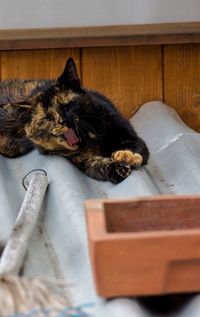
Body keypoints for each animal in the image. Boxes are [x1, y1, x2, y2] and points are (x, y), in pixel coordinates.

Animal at [0, 57, 149, 183]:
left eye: (66, 105)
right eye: (48, 117)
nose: (64, 121)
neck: (89, 137)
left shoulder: (125, 133)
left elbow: (133, 144)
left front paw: (126, 155)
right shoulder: (80, 159)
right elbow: (97, 166)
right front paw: (116, 168)